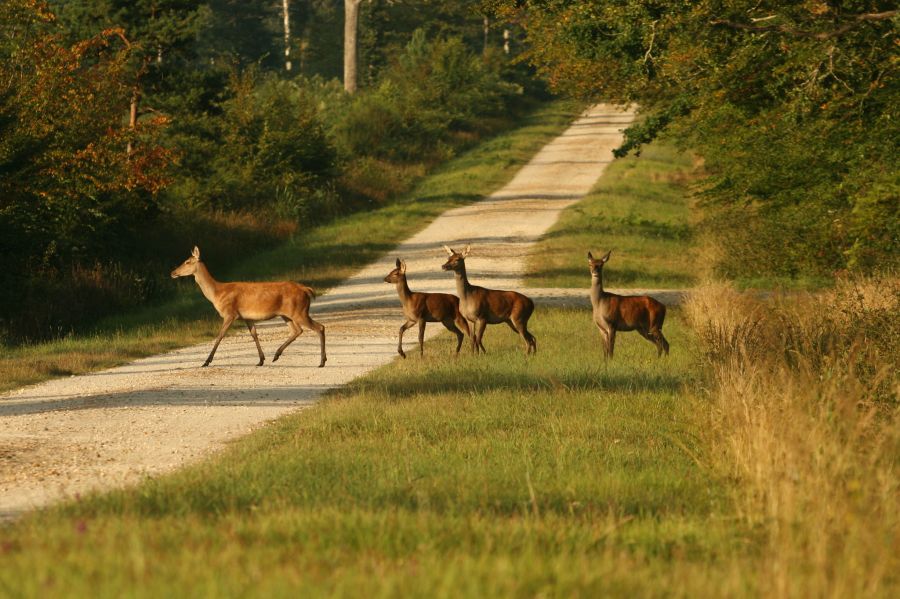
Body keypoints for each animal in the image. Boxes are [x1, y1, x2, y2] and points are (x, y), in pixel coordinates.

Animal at [169, 246, 326, 368]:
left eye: (187, 261)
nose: (173, 272)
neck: (217, 293)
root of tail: (306, 290)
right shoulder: (247, 317)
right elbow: (254, 334)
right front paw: (261, 360)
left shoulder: (230, 313)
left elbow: (220, 336)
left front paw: (206, 361)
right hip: (287, 314)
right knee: (297, 330)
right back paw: (276, 355)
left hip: (299, 311)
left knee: (319, 327)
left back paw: (321, 361)